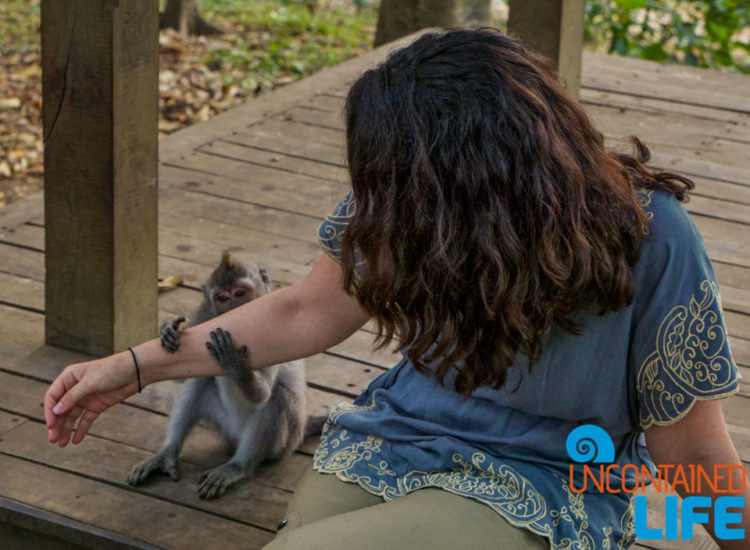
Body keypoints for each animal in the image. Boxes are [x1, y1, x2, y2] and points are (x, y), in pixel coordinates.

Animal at [127, 252, 326, 502]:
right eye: (223, 298)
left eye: (240, 293)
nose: (235, 310)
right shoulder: (205, 314)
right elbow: (182, 376)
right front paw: (168, 331)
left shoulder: (273, 327)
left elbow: (263, 395)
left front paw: (232, 363)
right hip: (225, 427)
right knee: (200, 382)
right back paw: (167, 453)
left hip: (285, 443)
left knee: (277, 398)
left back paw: (238, 466)